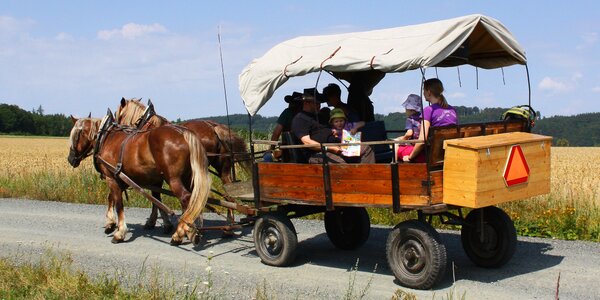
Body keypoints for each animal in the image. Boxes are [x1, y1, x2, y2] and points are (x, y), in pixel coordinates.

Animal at [68, 111, 211, 245]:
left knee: (186, 198)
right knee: (194, 200)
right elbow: (114, 198)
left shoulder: (112, 178)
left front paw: (120, 232)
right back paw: (191, 230)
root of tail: (184, 133)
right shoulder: (125, 178)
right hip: (188, 177)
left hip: (173, 179)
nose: (70, 159)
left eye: (75, 136)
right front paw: (110, 223)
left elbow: (118, 203)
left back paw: (179, 234)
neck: (106, 138)